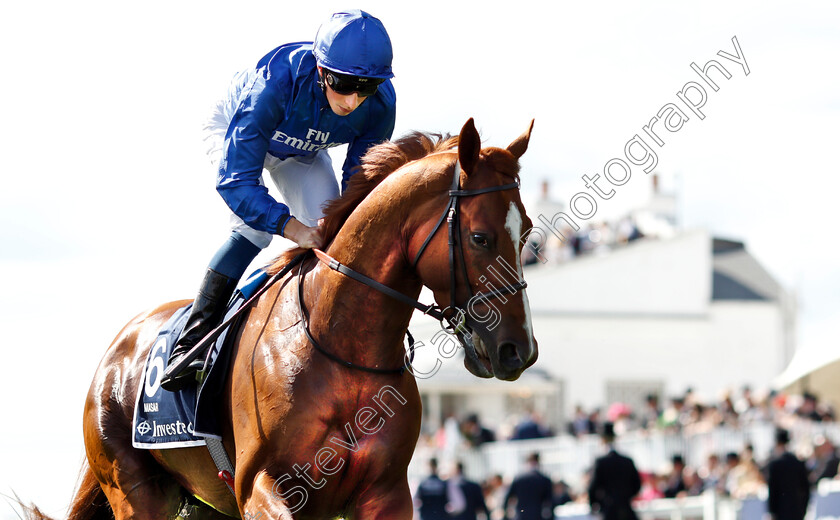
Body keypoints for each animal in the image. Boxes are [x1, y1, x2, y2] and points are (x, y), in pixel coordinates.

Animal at [52, 118, 540, 520]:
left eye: (528, 233)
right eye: (480, 237)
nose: (519, 351)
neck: (339, 344)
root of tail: (117, 351)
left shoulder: (386, 493)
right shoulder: (261, 486)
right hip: (134, 490)